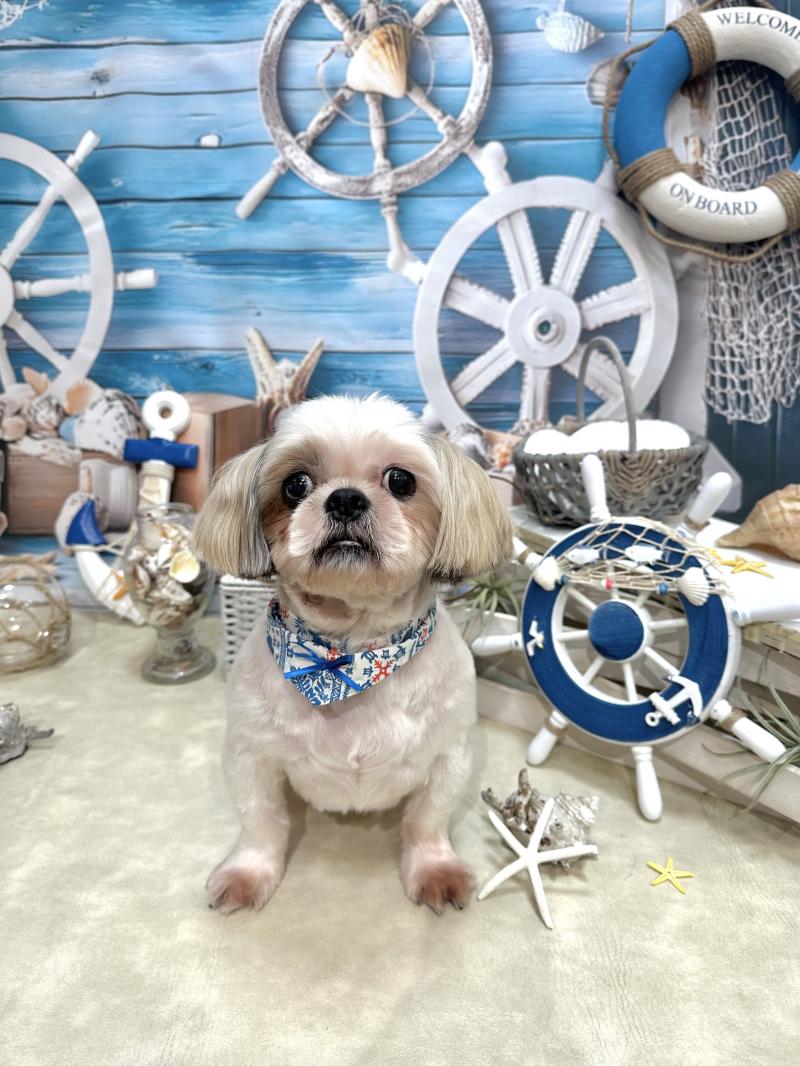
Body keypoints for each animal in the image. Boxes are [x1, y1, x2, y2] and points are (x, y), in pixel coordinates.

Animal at [194, 394, 513, 914]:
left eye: (400, 480)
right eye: (295, 484)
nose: (345, 498)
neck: (350, 654)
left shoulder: (449, 755)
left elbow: (427, 820)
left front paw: (436, 870)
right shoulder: (250, 755)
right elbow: (261, 821)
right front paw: (248, 873)